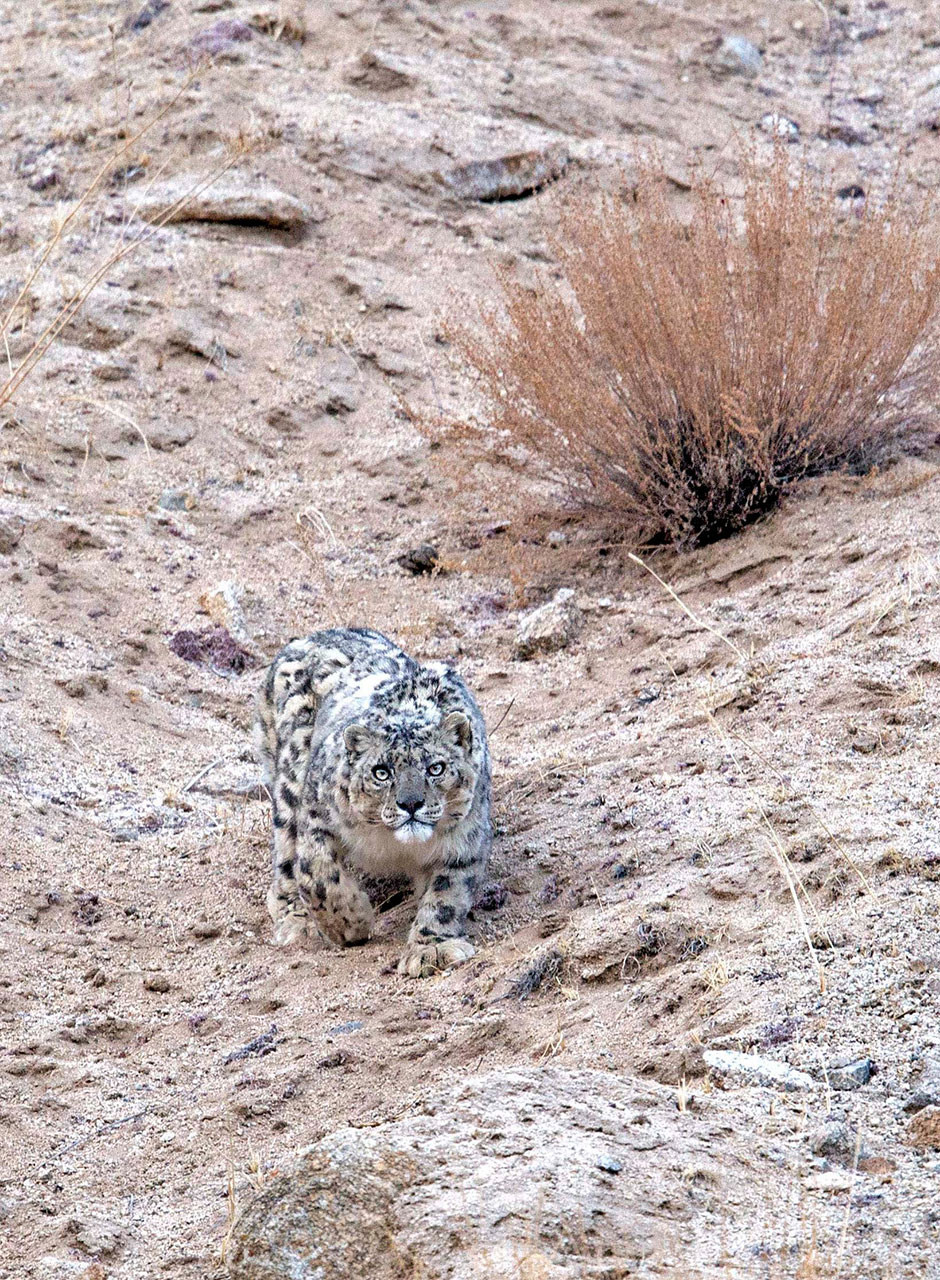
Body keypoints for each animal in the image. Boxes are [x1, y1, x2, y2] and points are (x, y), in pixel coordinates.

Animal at [254, 627, 491, 978]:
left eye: (436, 768)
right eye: (381, 772)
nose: (411, 804)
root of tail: (314, 635)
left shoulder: (465, 838)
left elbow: (446, 894)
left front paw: (430, 949)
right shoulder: (317, 814)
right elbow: (317, 874)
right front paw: (351, 923)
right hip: (291, 780)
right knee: (286, 855)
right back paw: (298, 922)